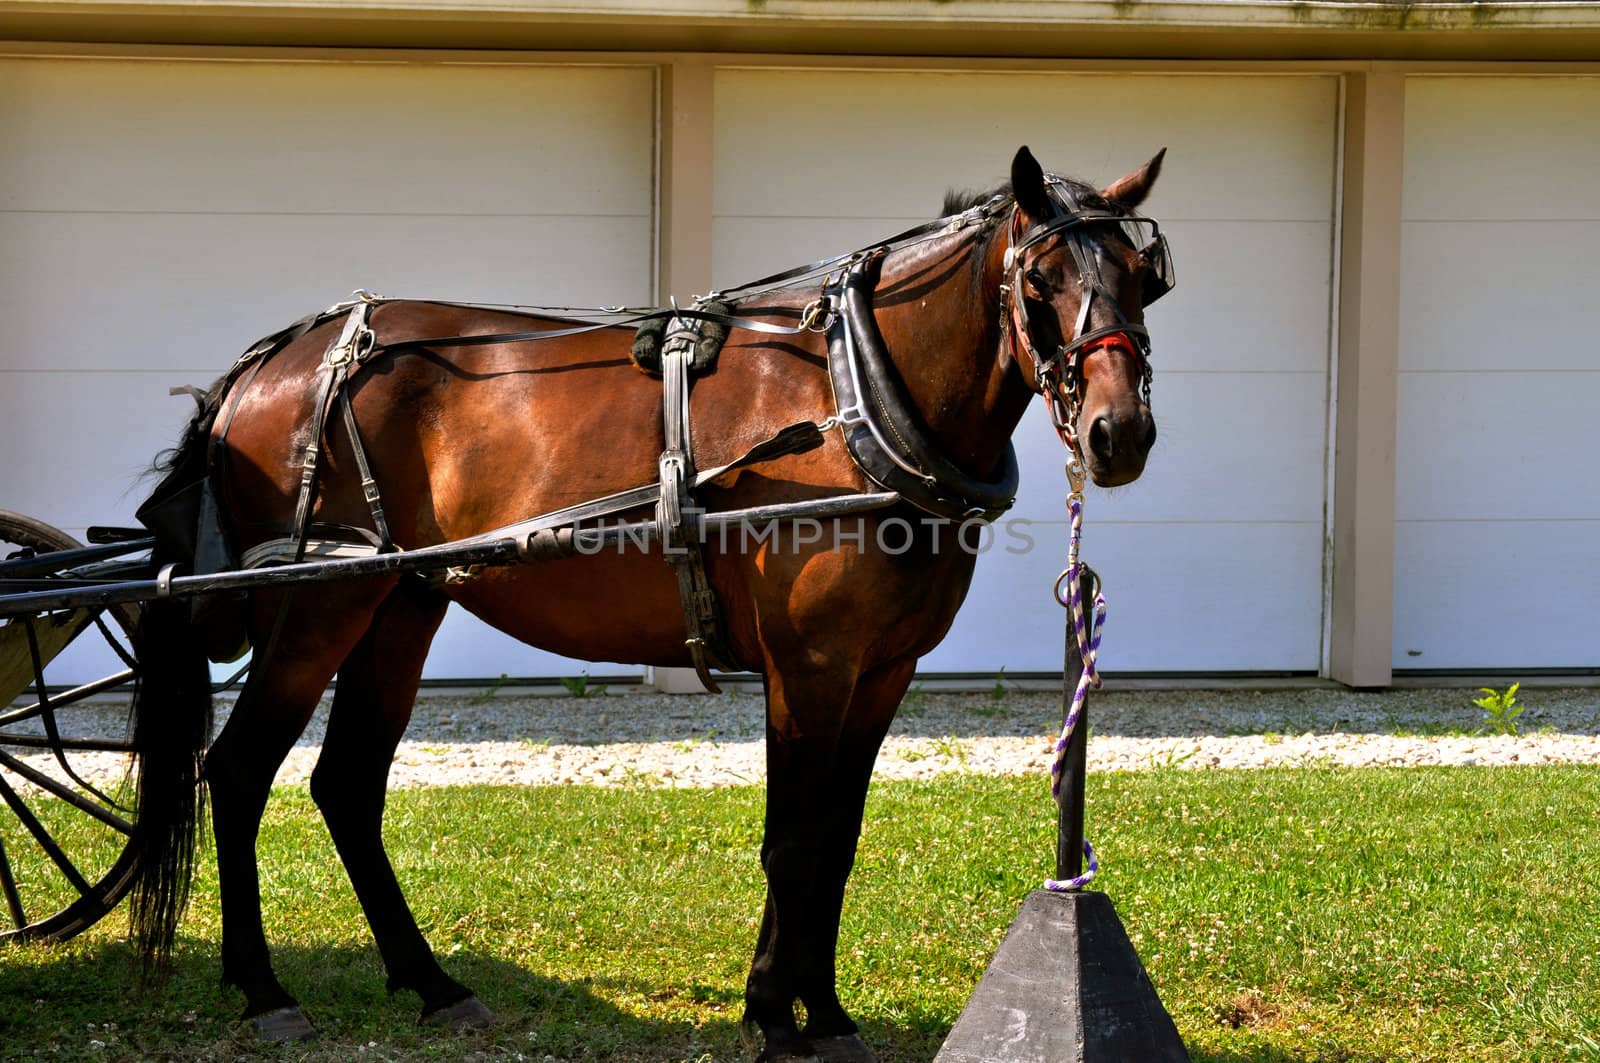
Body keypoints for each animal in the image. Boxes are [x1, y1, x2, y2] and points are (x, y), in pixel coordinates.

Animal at [124, 145, 1171, 1056]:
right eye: (1042, 282)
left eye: (1142, 277)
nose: (1120, 433)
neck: (853, 399)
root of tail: (271, 364)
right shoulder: (810, 667)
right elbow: (793, 841)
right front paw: (778, 1017)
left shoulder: (882, 670)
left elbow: (834, 840)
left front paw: (821, 1011)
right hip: (319, 608)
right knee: (239, 771)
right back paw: (264, 989)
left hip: (400, 604)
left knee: (346, 784)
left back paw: (432, 983)